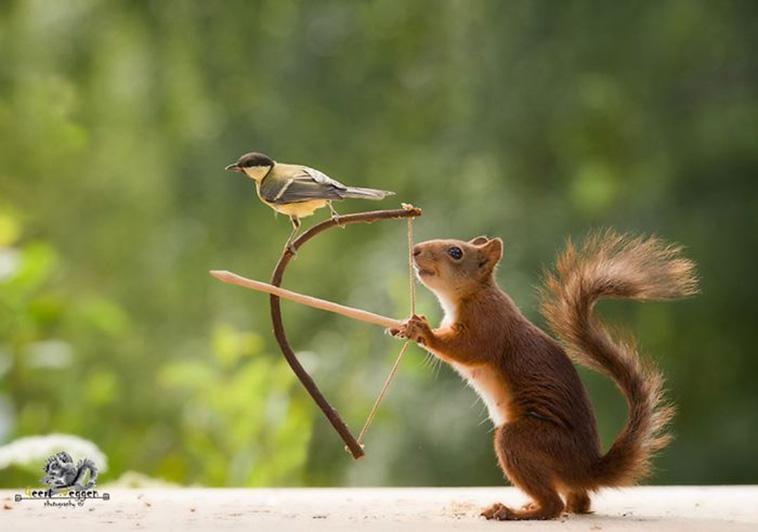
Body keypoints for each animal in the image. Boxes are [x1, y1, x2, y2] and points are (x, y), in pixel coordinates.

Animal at [390, 230, 698, 520]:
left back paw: (512, 512)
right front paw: (405, 325)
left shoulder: (488, 324)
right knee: (578, 503)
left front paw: (422, 330)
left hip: (527, 442)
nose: (415, 250)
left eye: (456, 252)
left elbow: (466, 348)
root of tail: (586, 468)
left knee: (554, 505)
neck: (473, 294)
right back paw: (534, 505)